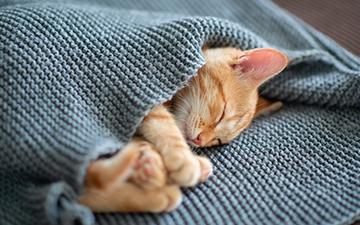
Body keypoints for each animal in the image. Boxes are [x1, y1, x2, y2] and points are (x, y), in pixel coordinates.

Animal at [78, 47, 286, 213]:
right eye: (221, 114)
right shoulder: (143, 97)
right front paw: (184, 159)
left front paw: (149, 162)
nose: (200, 141)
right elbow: (163, 122)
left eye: (217, 141)